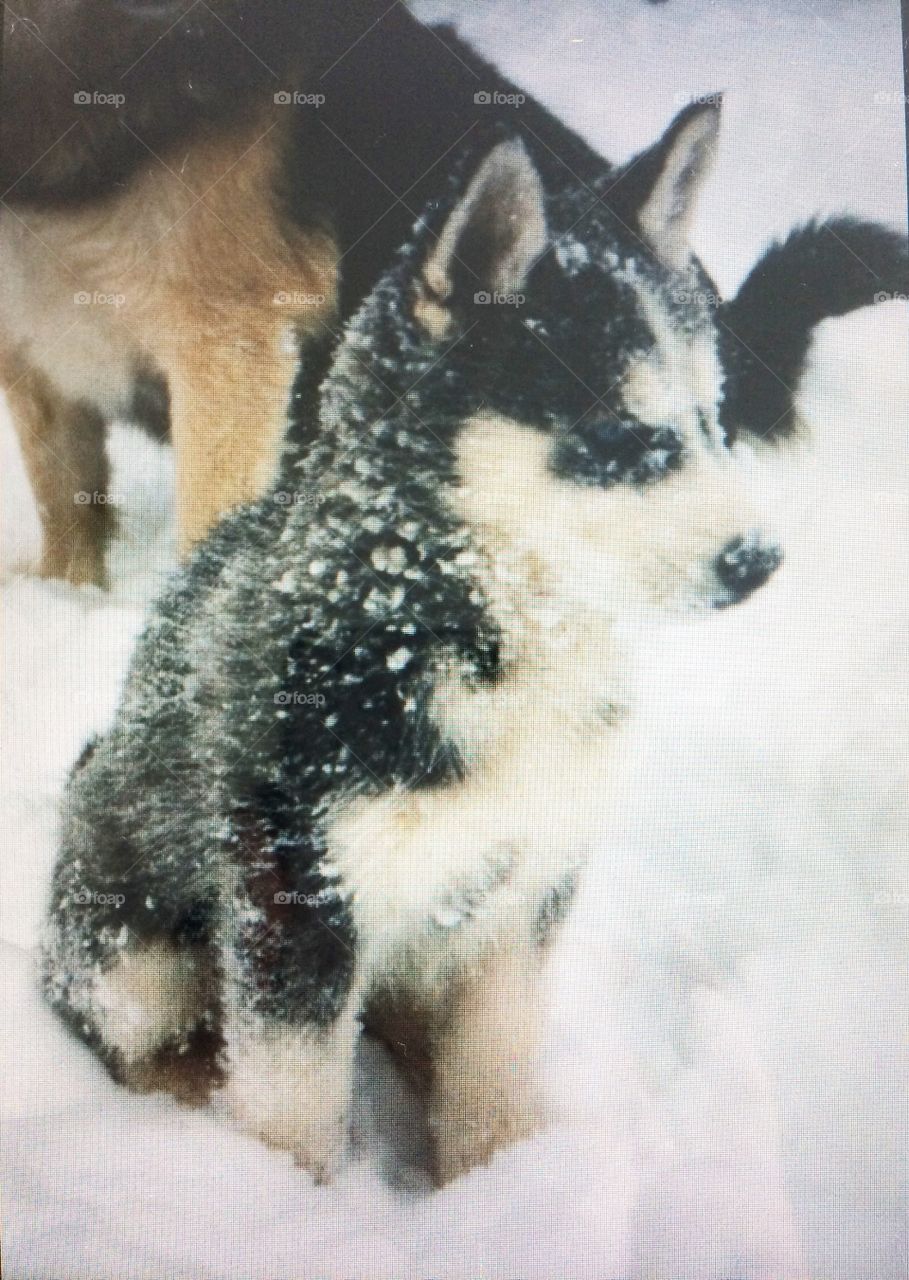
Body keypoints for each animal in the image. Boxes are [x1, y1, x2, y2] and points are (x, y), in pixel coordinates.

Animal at [42, 104, 909, 1182]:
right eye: (620, 437)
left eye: (712, 418)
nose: (759, 562)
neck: (474, 642)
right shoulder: (296, 898)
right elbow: (292, 1100)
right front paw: (290, 1196)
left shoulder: (523, 885)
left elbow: (490, 1067)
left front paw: (501, 1186)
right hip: (132, 947)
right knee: (143, 1037)